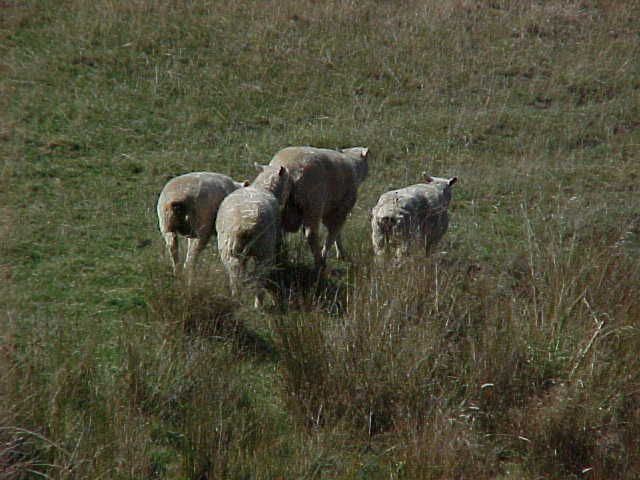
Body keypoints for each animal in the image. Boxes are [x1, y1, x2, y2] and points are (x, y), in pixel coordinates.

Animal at [218, 165, 292, 308]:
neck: (264, 187)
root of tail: (246, 226)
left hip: (229, 250)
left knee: (235, 277)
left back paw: (237, 301)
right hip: (264, 251)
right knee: (259, 278)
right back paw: (258, 305)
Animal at [268, 144, 370, 272]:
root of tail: (290, 169)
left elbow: (336, 233)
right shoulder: (340, 208)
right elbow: (334, 233)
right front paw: (337, 254)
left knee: (277, 233)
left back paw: (280, 261)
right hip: (313, 203)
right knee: (311, 233)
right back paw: (319, 264)